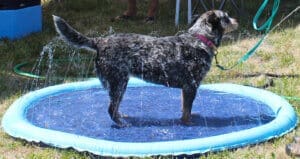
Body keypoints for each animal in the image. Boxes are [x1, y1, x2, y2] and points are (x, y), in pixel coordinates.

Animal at [52, 9, 238, 125]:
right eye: (226, 17)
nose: (237, 20)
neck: (200, 38)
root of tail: (100, 41)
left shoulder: (186, 88)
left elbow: (184, 107)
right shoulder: (191, 86)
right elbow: (187, 110)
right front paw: (188, 122)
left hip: (119, 84)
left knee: (115, 107)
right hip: (119, 83)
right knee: (111, 109)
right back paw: (122, 124)